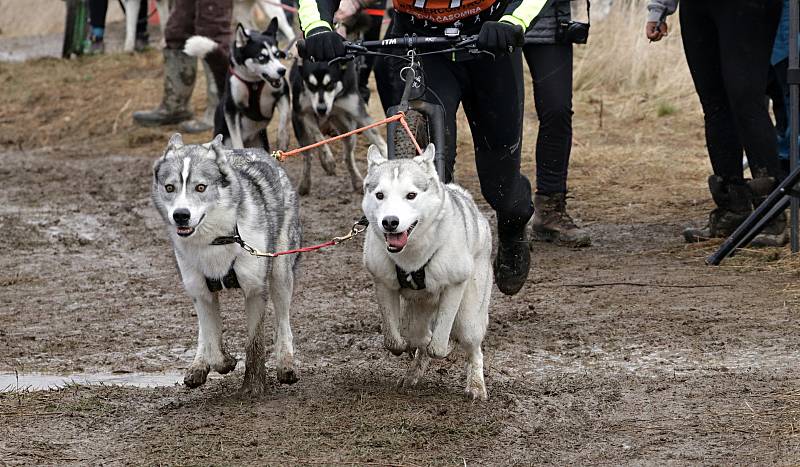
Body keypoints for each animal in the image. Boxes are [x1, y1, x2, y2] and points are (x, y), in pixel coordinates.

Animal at [152, 134, 302, 394]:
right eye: (170, 187)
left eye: (201, 187)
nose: (180, 215)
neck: (216, 239)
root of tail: (262, 152)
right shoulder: (201, 293)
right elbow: (212, 341)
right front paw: (223, 362)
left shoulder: (255, 290)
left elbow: (254, 344)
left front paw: (253, 387)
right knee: (204, 332)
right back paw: (198, 365)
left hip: (281, 274)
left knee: (283, 323)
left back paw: (285, 364)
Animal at [184, 20, 290, 151]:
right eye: (261, 57)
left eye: (277, 54)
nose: (282, 71)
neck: (254, 82)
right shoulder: (231, 109)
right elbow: (236, 138)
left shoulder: (283, 93)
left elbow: (285, 116)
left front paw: (283, 138)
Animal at [290, 50, 388, 196]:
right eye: (311, 86)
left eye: (330, 84)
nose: (321, 109)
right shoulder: (305, 113)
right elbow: (318, 137)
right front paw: (328, 159)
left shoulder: (358, 113)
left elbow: (377, 137)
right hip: (300, 128)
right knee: (307, 156)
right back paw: (305, 184)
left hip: (348, 128)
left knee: (347, 156)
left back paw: (357, 181)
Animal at [362, 144, 494, 402]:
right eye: (380, 195)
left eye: (411, 195)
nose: (390, 221)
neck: (412, 257)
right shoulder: (383, 284)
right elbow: (394, 340)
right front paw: (405, 348)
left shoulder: (454, 285)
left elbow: (438, 344)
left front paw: (440, 348)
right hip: (420, 306)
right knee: (419, 334)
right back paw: (413, 372)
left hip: (469, 317)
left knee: (473, 348)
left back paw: (476, 385)